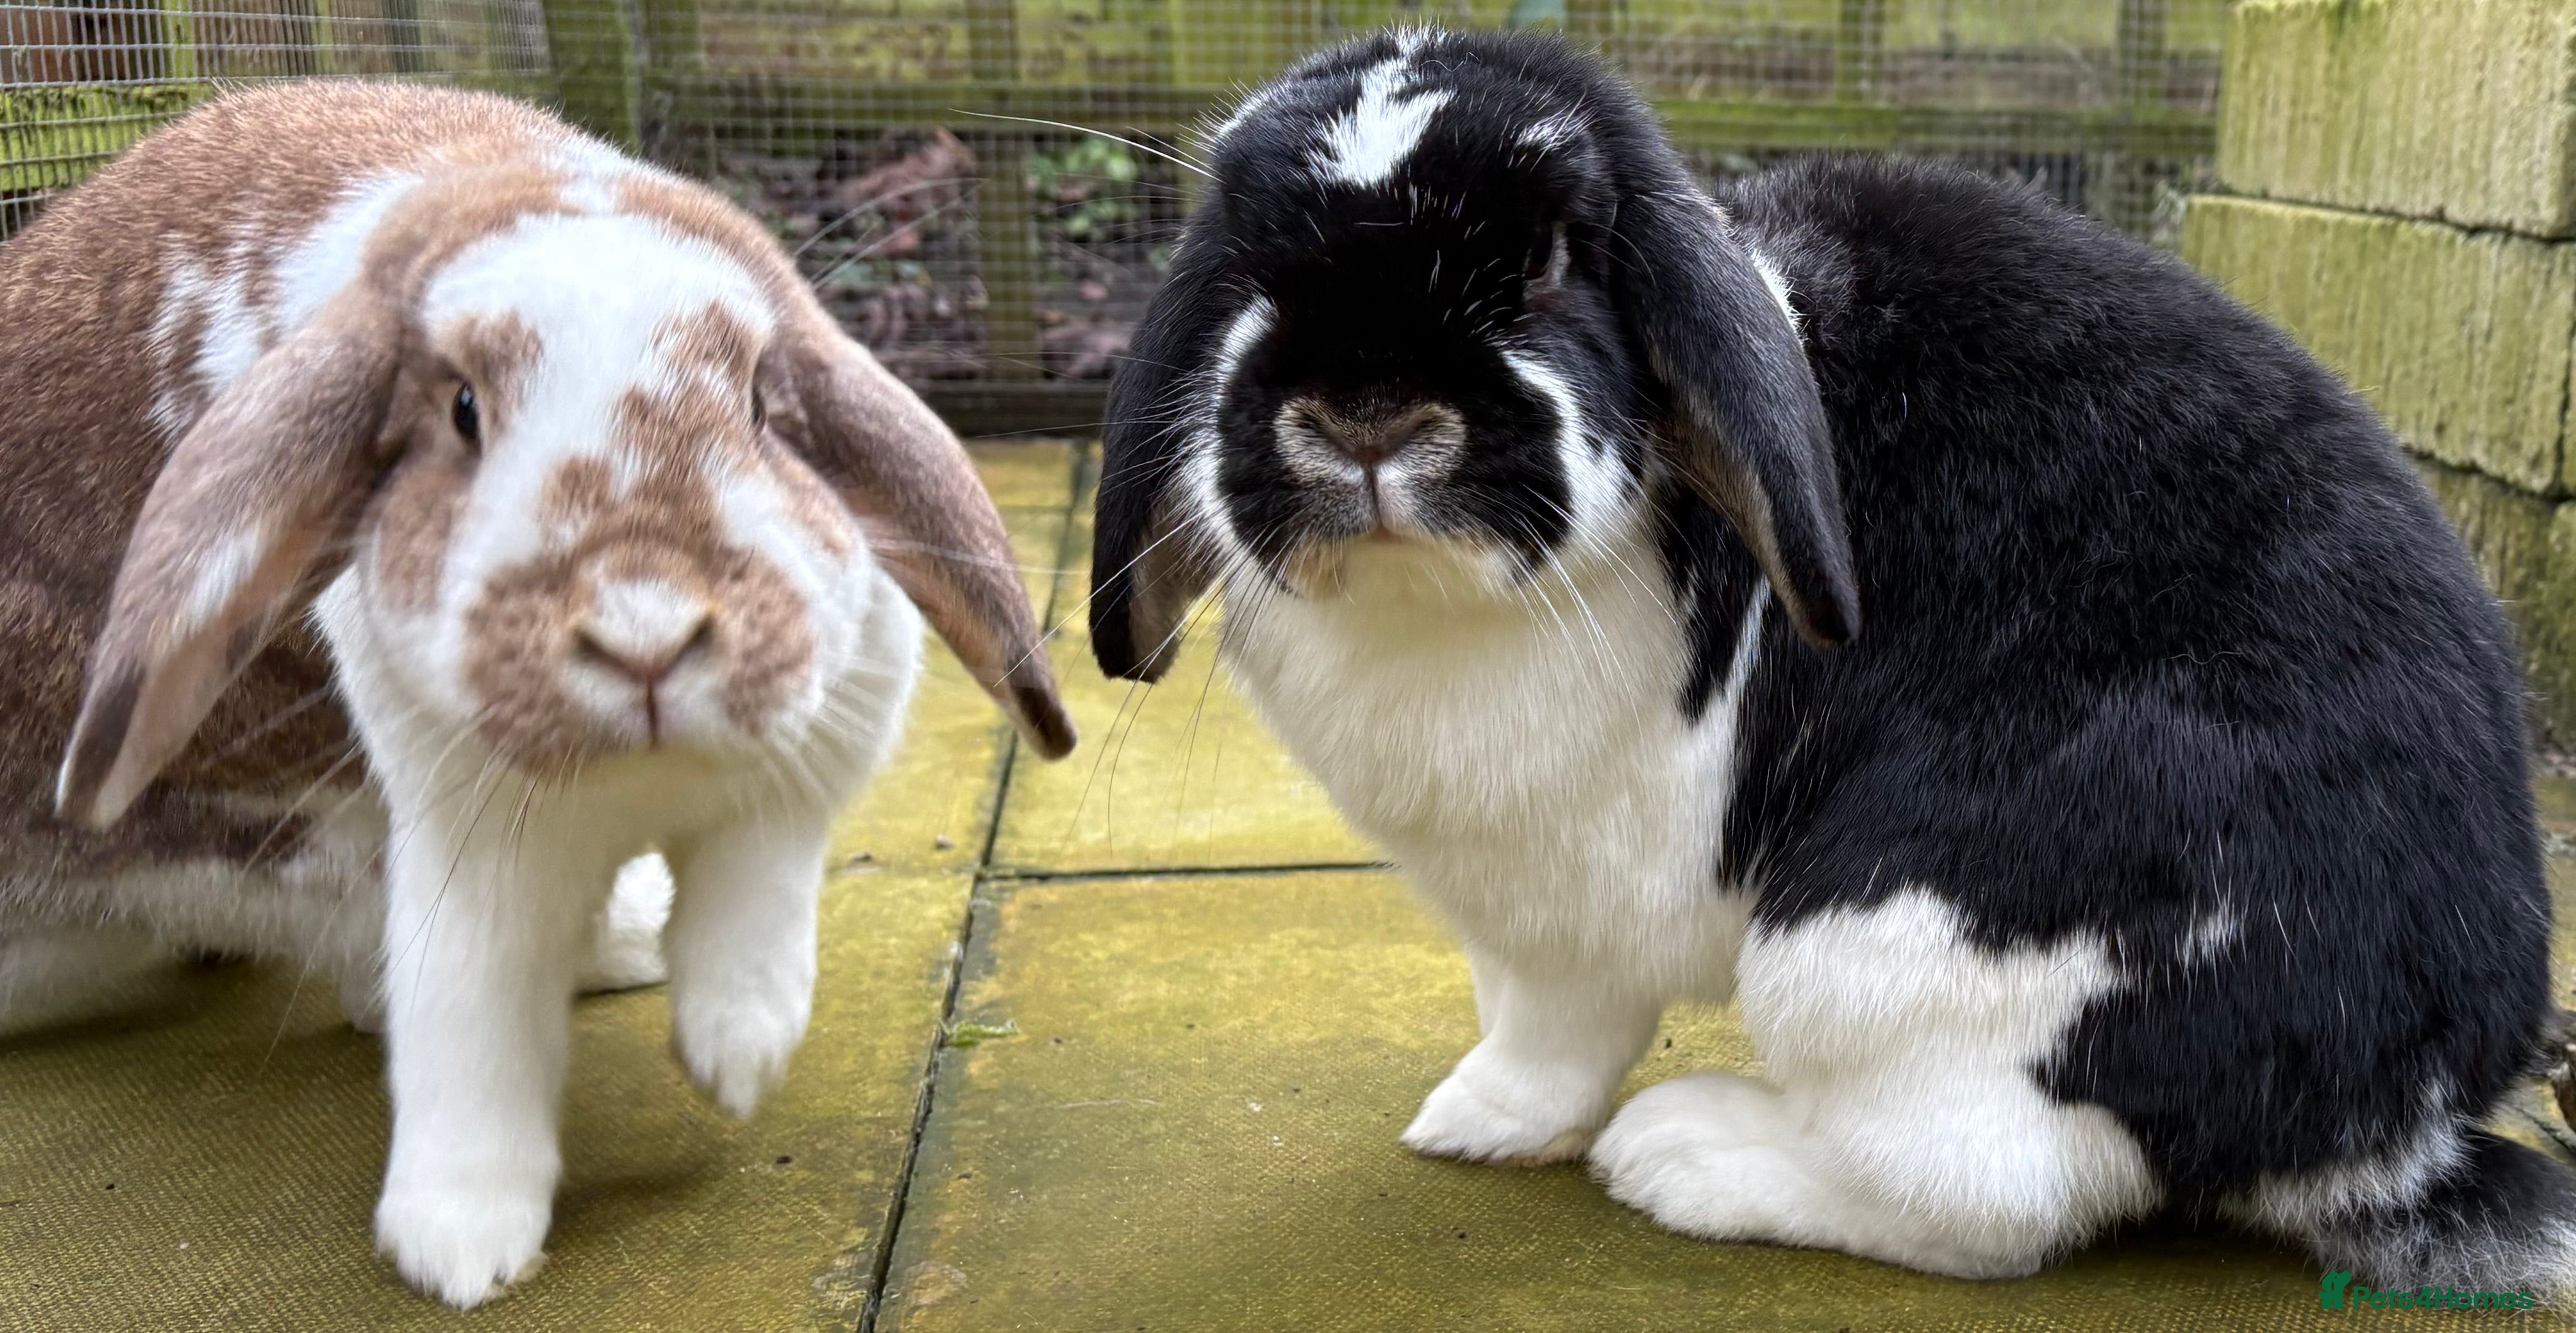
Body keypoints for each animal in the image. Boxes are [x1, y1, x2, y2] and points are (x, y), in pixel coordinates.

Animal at [0, 80, 1074, 1307]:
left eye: (762, 405)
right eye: (462, 410)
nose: (645, 631)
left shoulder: (812, 756)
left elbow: (758, 889)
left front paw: (735, 1056)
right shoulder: (460, 852)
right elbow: (469, 1018)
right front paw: (460, 1244)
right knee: (349, 949)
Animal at [1091, 26, 2576, 1300]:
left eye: (1556, 259)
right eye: (1250, 266)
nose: (1364, 414)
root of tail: (2390, 1122)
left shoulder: (1569, 904)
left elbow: (1560, 1026)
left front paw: (1490, 1124)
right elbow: (1513, 1019)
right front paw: (1473, 1123)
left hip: (1886, 944)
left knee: (1985, 1198)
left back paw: (1687, 1156)